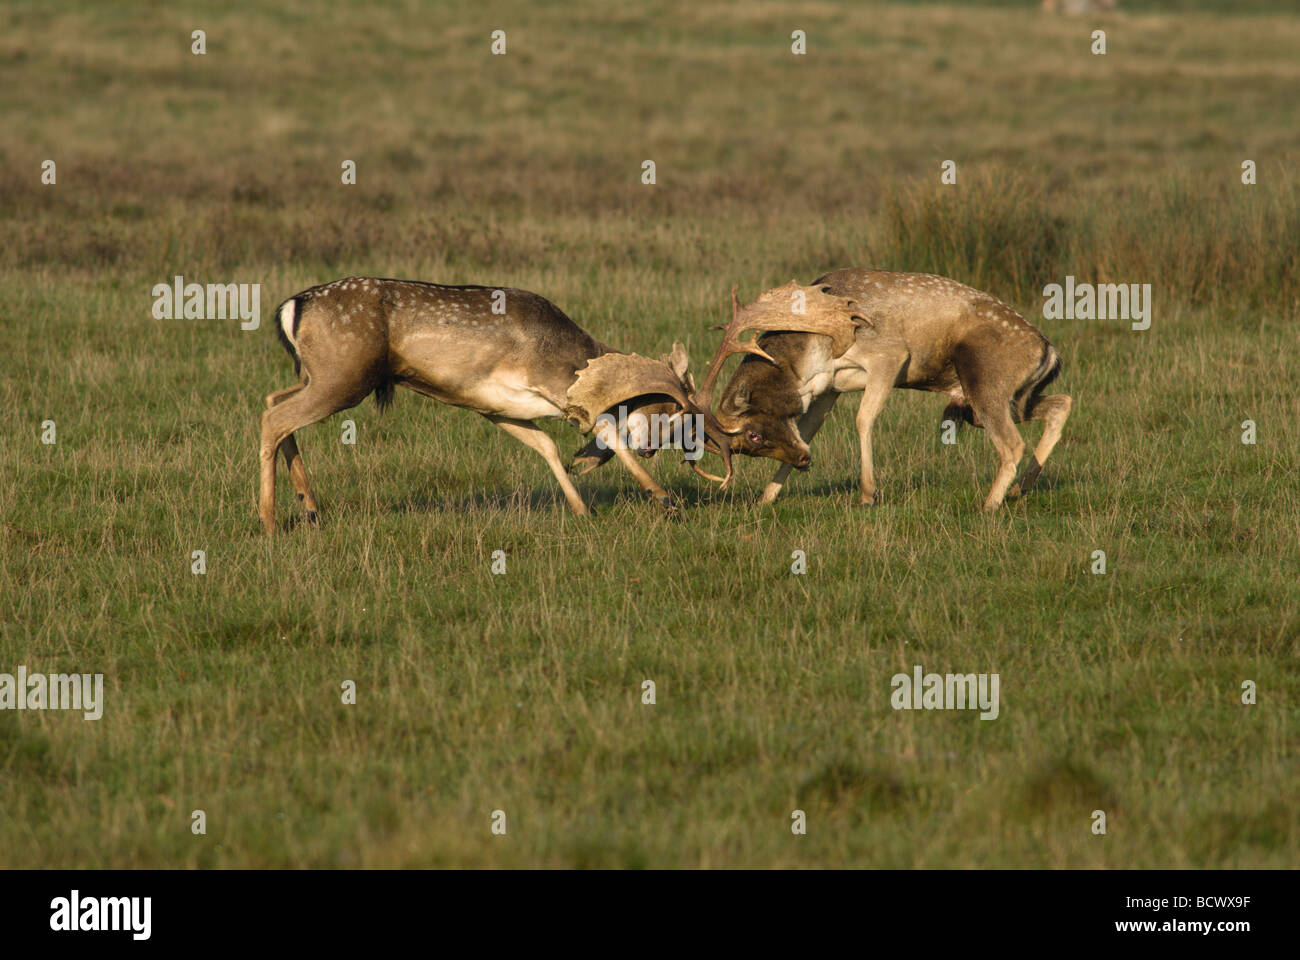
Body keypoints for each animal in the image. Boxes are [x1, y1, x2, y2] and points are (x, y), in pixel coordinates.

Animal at [258, 276, 730, 533]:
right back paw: (268, 521)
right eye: (674, 411)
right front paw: (665, 500)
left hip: (317, 374)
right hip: (344, 375)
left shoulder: (495, 408)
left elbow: (547, 447)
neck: (575, 356)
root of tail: (291, 307)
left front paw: (581, 509)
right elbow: (606, 431)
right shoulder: (551, 381)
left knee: (273, 400)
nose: (652, 449)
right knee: (274, 417)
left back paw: (310, 508)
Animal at [686, 270, 1072, 511]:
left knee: (1012, 444)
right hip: (1007, 398)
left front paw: (868, 494)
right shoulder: (829, 390)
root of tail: (1049, 351)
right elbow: (808, 431)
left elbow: (863, 419)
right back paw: (1022, 488)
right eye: (745, 447)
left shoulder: (889, 356)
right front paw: (765, 498)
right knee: (1061, 403)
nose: (803, 462)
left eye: (753, 435)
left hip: (985, 380)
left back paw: (988, 505)